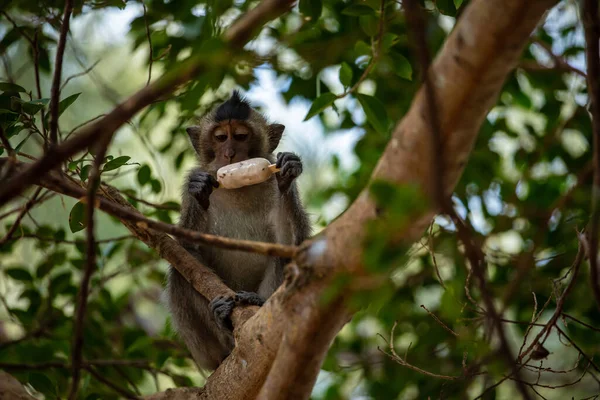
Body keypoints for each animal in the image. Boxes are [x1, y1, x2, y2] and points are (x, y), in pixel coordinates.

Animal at [165, 91, 314, 372]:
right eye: (221, 137)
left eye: (242, 136)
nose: (230, 153)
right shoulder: (196, 176)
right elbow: (186, 249)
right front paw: (201, 191)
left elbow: (293, 244)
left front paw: (287, 174)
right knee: (180, 273)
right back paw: (223, 323)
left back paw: (256, 303)